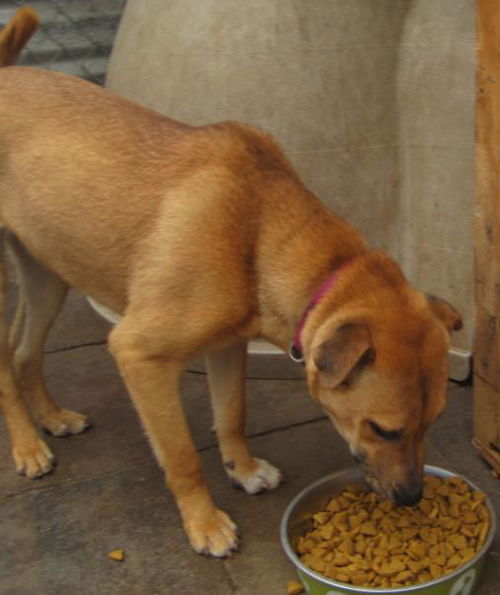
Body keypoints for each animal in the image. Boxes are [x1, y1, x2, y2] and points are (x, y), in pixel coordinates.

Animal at [0, 9, 460, 560]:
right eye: (383, 430)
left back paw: (51, 418)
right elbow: (181, 455)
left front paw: (243, 469)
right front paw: (205, 523)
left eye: (432, 423)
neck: (259, 229)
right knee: (3, 363)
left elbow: (233, 413)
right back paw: (28, 446)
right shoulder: (139, 356)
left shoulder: (225, 346)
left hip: (48, 273)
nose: (412, 498)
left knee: (23, 351)